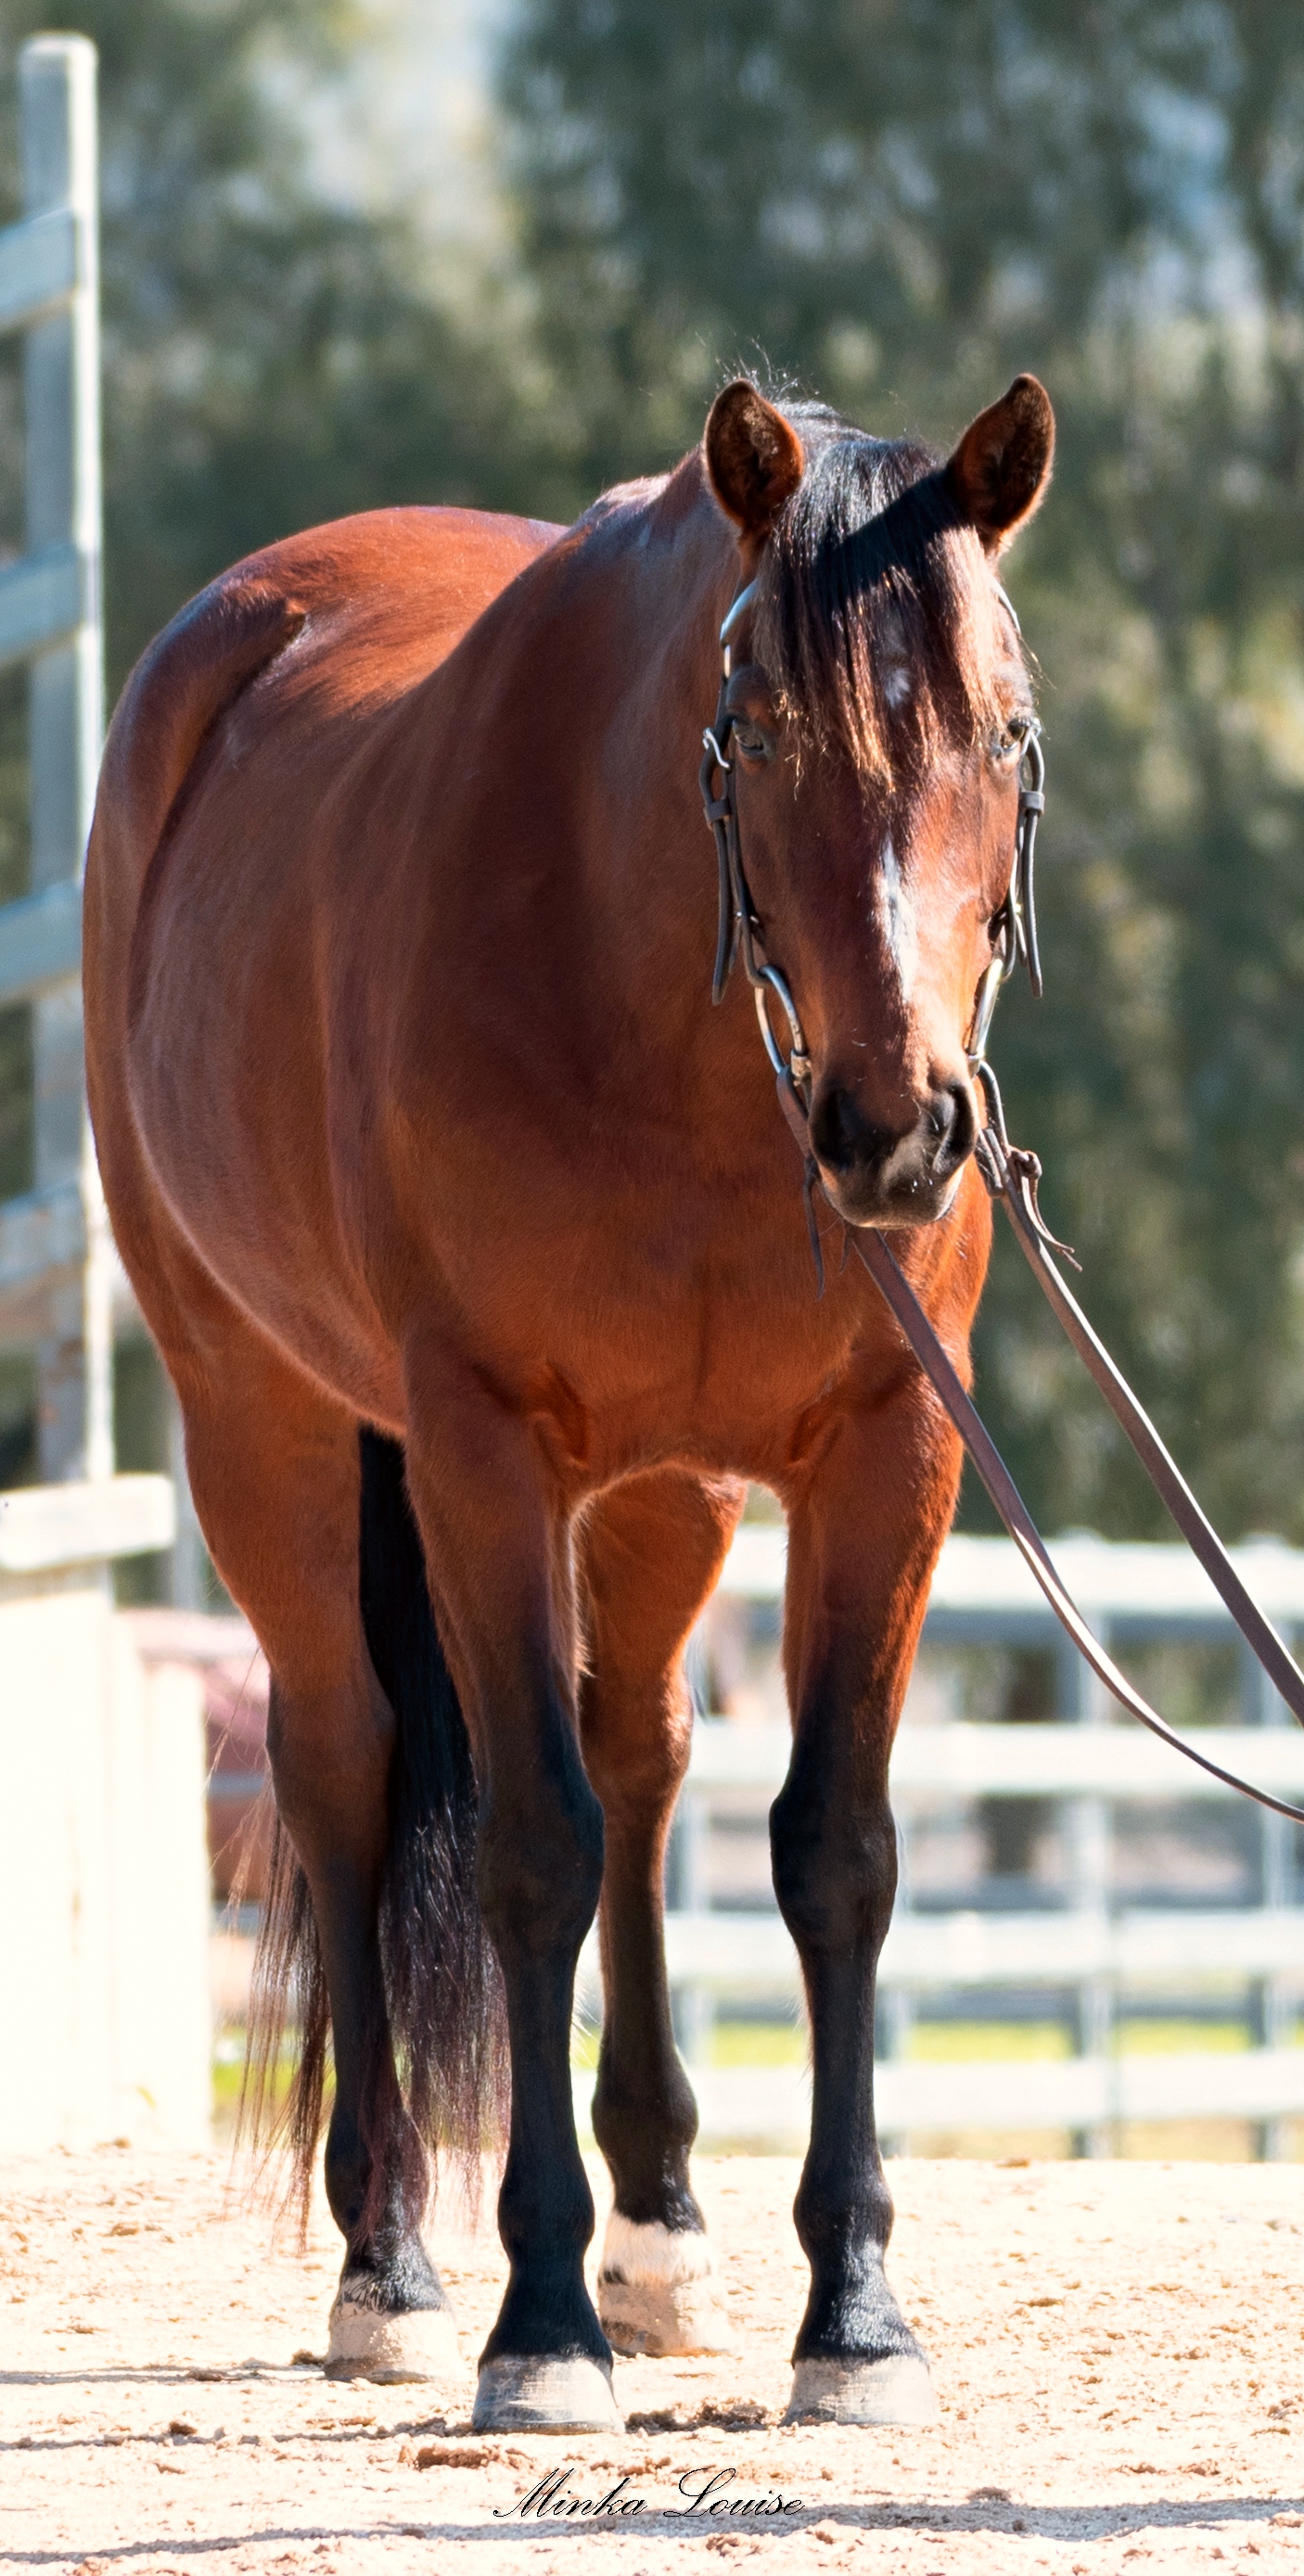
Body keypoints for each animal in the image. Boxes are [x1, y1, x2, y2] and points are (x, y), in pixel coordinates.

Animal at [83, 369, 1055, 2433]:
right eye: (754, 728)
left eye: (1004, 733)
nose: (896, 1128)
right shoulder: (478, 1451)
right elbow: (532, 1841)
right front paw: (537, 2326)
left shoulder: (890, 1451)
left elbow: (833, 1851)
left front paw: (852, 2313)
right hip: (261, 1422)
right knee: (348, 1769)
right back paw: (389, 2263)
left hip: (668, 1492)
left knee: (648, 1758)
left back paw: (663, 2227)